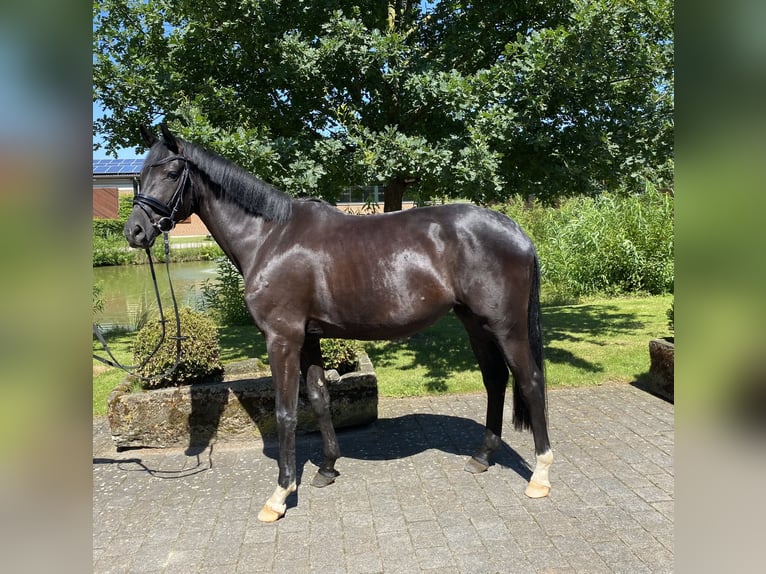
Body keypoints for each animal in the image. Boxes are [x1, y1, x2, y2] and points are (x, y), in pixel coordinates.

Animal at [126, 126, 552, 520]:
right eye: (140, 175)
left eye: (171, 172)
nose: (134, 231)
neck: (270, 237)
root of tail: (517, 232)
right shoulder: (309, 338)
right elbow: (319, 398)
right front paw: (327, 468)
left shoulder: (282, 338)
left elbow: (285, 412)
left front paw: (281, 494)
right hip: (475, 323)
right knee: (495, 379)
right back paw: (482, 456)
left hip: (506, 326)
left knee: (530, 381)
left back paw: (540, 476)